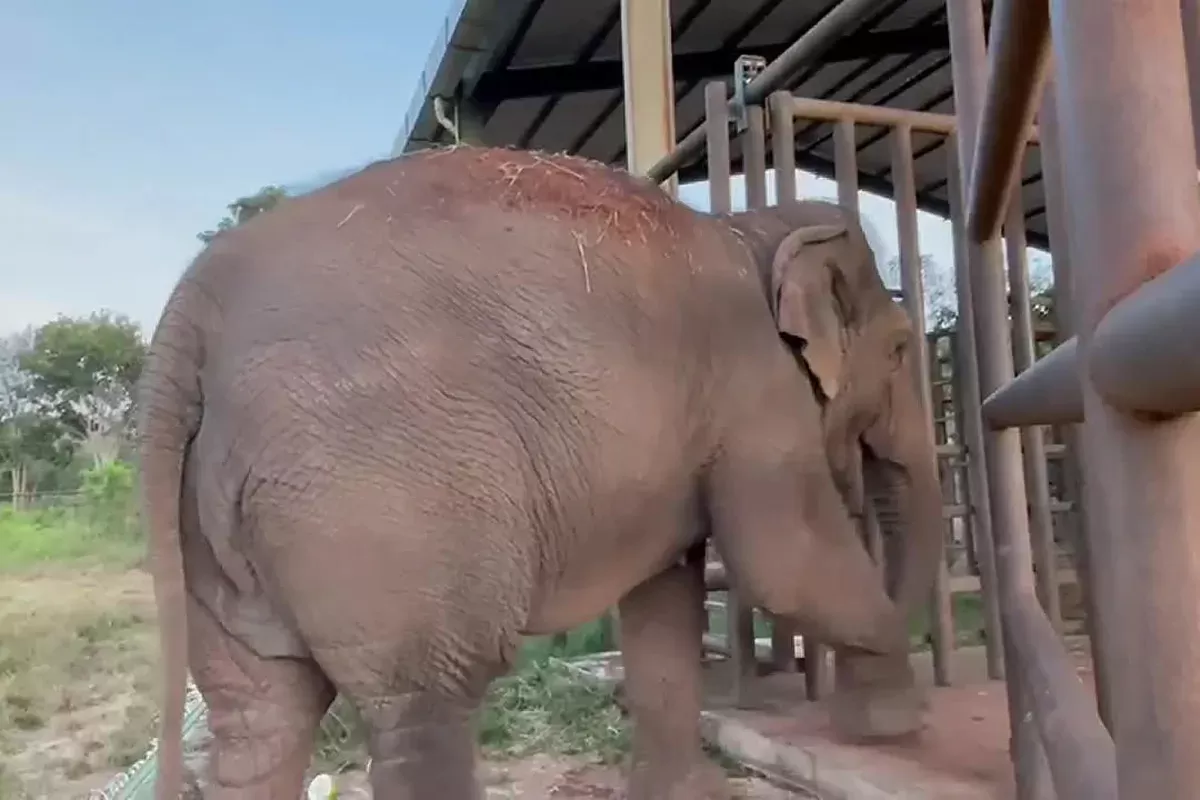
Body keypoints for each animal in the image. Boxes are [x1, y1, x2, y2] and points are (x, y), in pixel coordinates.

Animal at [140, 145, 940, 800]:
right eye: (902, 349)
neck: (758, 228)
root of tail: (191, 313)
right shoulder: (755, 390)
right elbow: (786, 564)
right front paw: (897, 724)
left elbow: (665, 597)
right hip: (374, 498)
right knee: (426, 699)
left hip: (217, 518)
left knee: (258, 715)